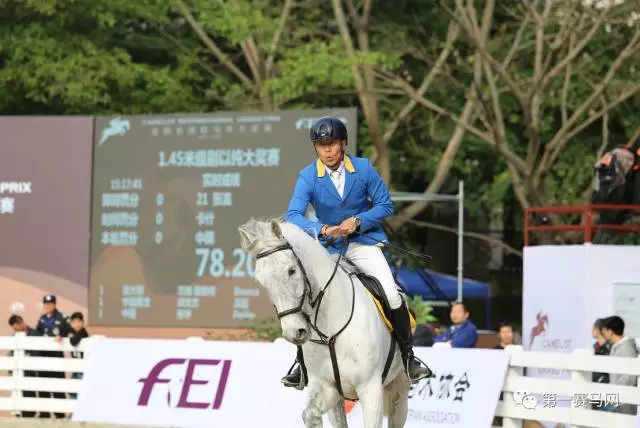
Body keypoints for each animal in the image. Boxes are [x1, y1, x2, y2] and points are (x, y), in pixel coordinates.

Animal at [239, 219, 410, 426]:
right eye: (261, 282)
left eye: (291, 270)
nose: (294, 332)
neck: (330, 332)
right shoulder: (327, 388)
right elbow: (310, 414)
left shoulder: (370, 389)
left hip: (399, 390)